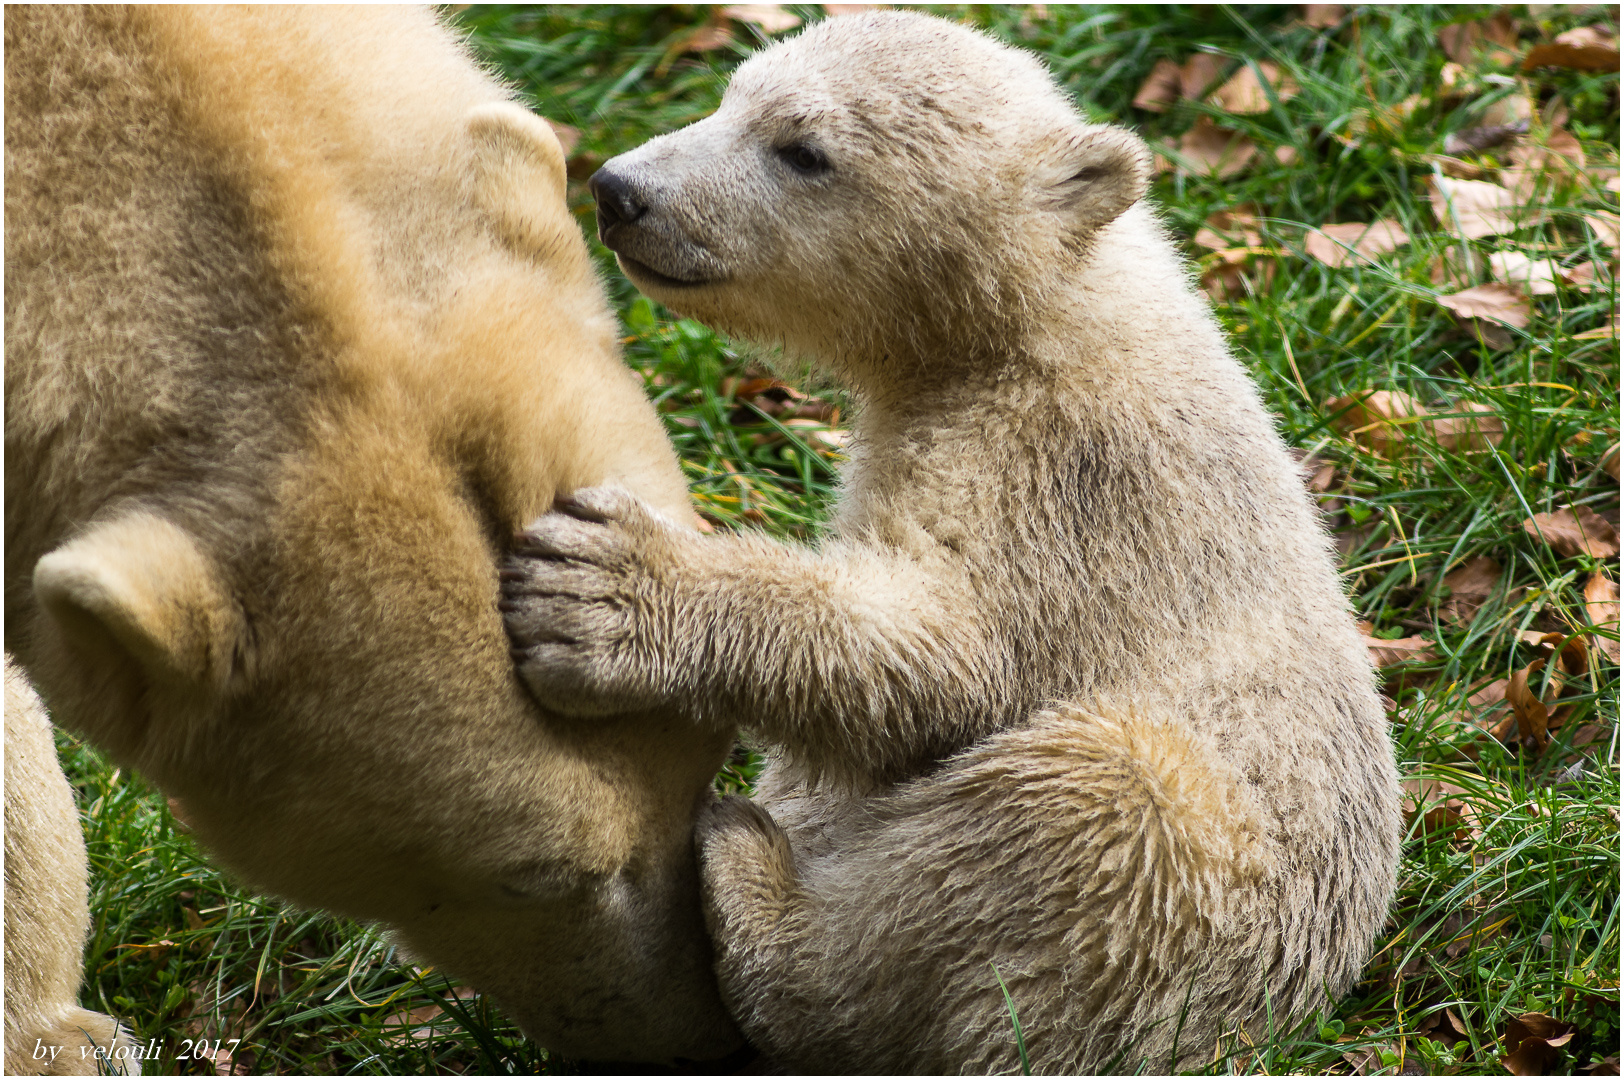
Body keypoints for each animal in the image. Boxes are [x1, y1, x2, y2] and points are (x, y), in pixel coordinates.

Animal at [506, 8, 1409, 1071]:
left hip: (1185, 924)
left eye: (803, 150)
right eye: (731, 94)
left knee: (1093, 807)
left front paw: (605, 586)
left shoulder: (1068, 488)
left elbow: (951, 653)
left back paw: (761, 891)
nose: (620, 191)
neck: (1054, 312)